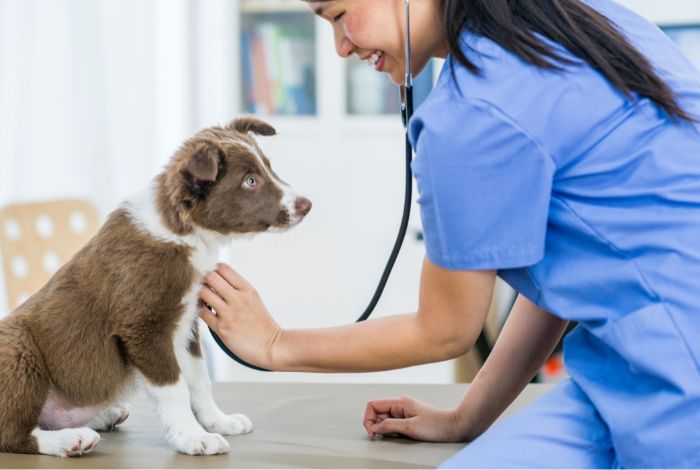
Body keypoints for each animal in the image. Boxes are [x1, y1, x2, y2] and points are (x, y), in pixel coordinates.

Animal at [0, 116, 312, 456]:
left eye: (268, 167)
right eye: (250, 181)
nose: (306, 205)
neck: (184, 231)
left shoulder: (186, 324)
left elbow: (199, 379)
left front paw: (218, 421)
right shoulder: (144, 328)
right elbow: (174, 389)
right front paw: (193, 437)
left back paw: (102, 417)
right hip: (18, 350)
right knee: (12, 434)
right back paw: (71, 439)